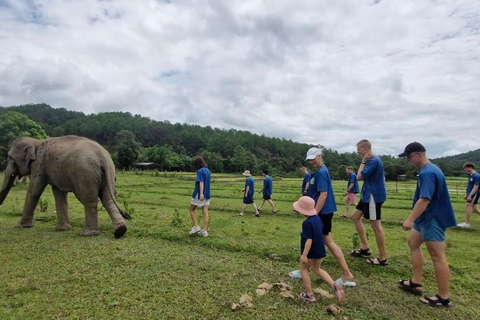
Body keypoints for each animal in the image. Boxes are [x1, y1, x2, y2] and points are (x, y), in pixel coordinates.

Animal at [0, 135, 130, 238]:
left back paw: (88, 233)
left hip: (84, 173)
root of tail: (103, 155)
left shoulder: (39, 164)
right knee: (107, 199)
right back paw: (120, 230)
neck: (35, 141)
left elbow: (35, 191)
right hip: (108, 173)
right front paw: (62, 229)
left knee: (89, 200)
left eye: (10, 158)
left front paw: (21, 226)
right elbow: (59, 194)